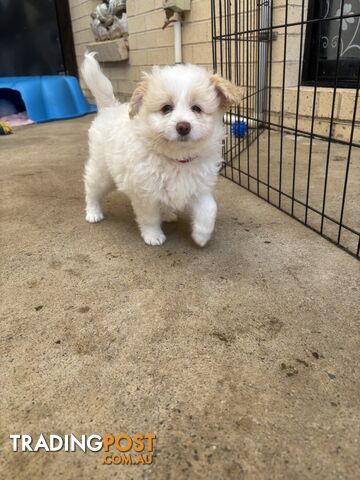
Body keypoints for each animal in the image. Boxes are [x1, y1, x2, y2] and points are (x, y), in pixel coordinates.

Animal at [82, 54, 242, 246]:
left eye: (197, 108)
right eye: (166, 108)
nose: (183, 127)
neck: (178, 158)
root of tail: (109, 108)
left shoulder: (199, 187)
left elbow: (209, 209)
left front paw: (201, 236)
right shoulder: (145, 194)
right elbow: (149, 218)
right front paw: (153, 236)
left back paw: (167, 214)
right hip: (102, 172)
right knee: (92, 189)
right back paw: (93, 212)